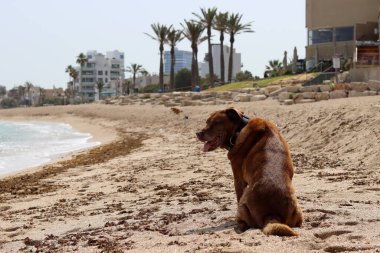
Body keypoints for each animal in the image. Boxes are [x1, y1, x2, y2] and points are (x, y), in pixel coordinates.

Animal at [196, 107, 302, 236]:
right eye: (207, 122)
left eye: (216, 122)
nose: (198, 133)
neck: (239, 129)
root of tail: (272, 215)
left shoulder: (238, 179)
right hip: (298, 209)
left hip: (243, 205)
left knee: (242, 221)